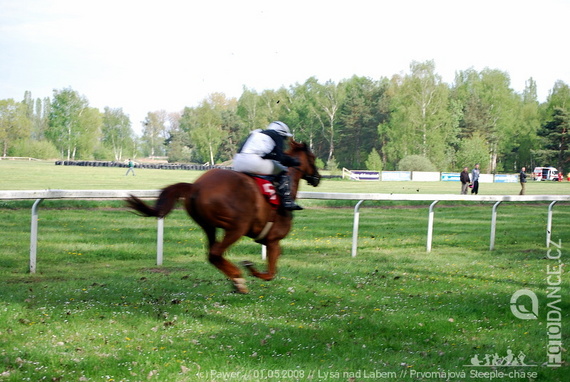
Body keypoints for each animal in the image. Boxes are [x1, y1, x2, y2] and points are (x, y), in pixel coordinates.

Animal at [125, 140, 320, 292]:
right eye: (313, 158)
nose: (317, 177)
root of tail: (195, 186)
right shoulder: (273, 240)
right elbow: (270, 274)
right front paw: (251, 268)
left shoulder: (271, 241)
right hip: (237, 226)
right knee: (216, 252)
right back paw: (239, 278)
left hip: (208, 226)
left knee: (212, 254)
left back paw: (236, 279)